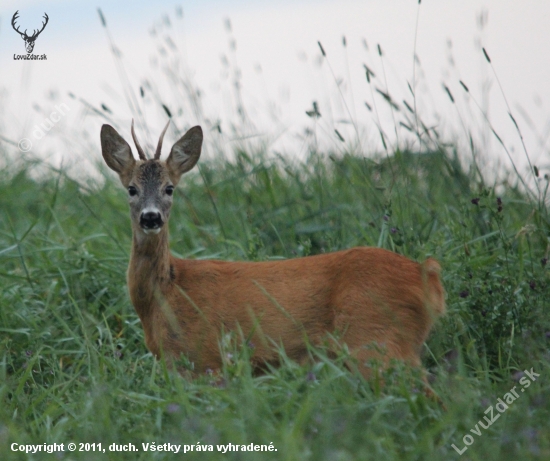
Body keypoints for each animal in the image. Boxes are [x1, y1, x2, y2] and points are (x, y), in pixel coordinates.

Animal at [101, 121, 448, 384]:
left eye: (169, 188)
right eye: (131, 189)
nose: (151, 217)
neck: (165, 293)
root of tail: (426, 274)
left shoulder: (205, 359)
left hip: (377, 338)